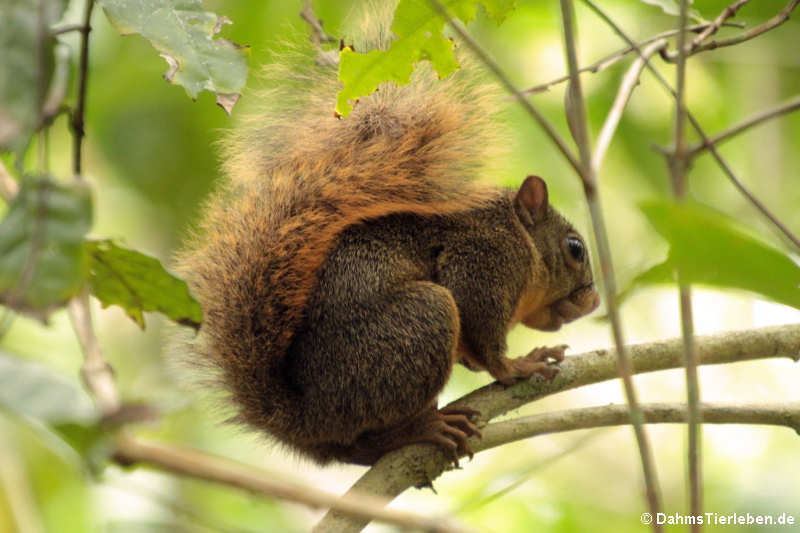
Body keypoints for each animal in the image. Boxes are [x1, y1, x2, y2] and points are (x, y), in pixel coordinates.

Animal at [177, 8, 600, 466]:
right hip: (419, 322)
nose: (595, 300)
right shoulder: (483, 259)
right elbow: (485, 337)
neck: (520, 237)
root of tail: (307, 420)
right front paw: (519, 366)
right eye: (575, 249)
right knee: (370, 437)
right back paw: (421, 428)